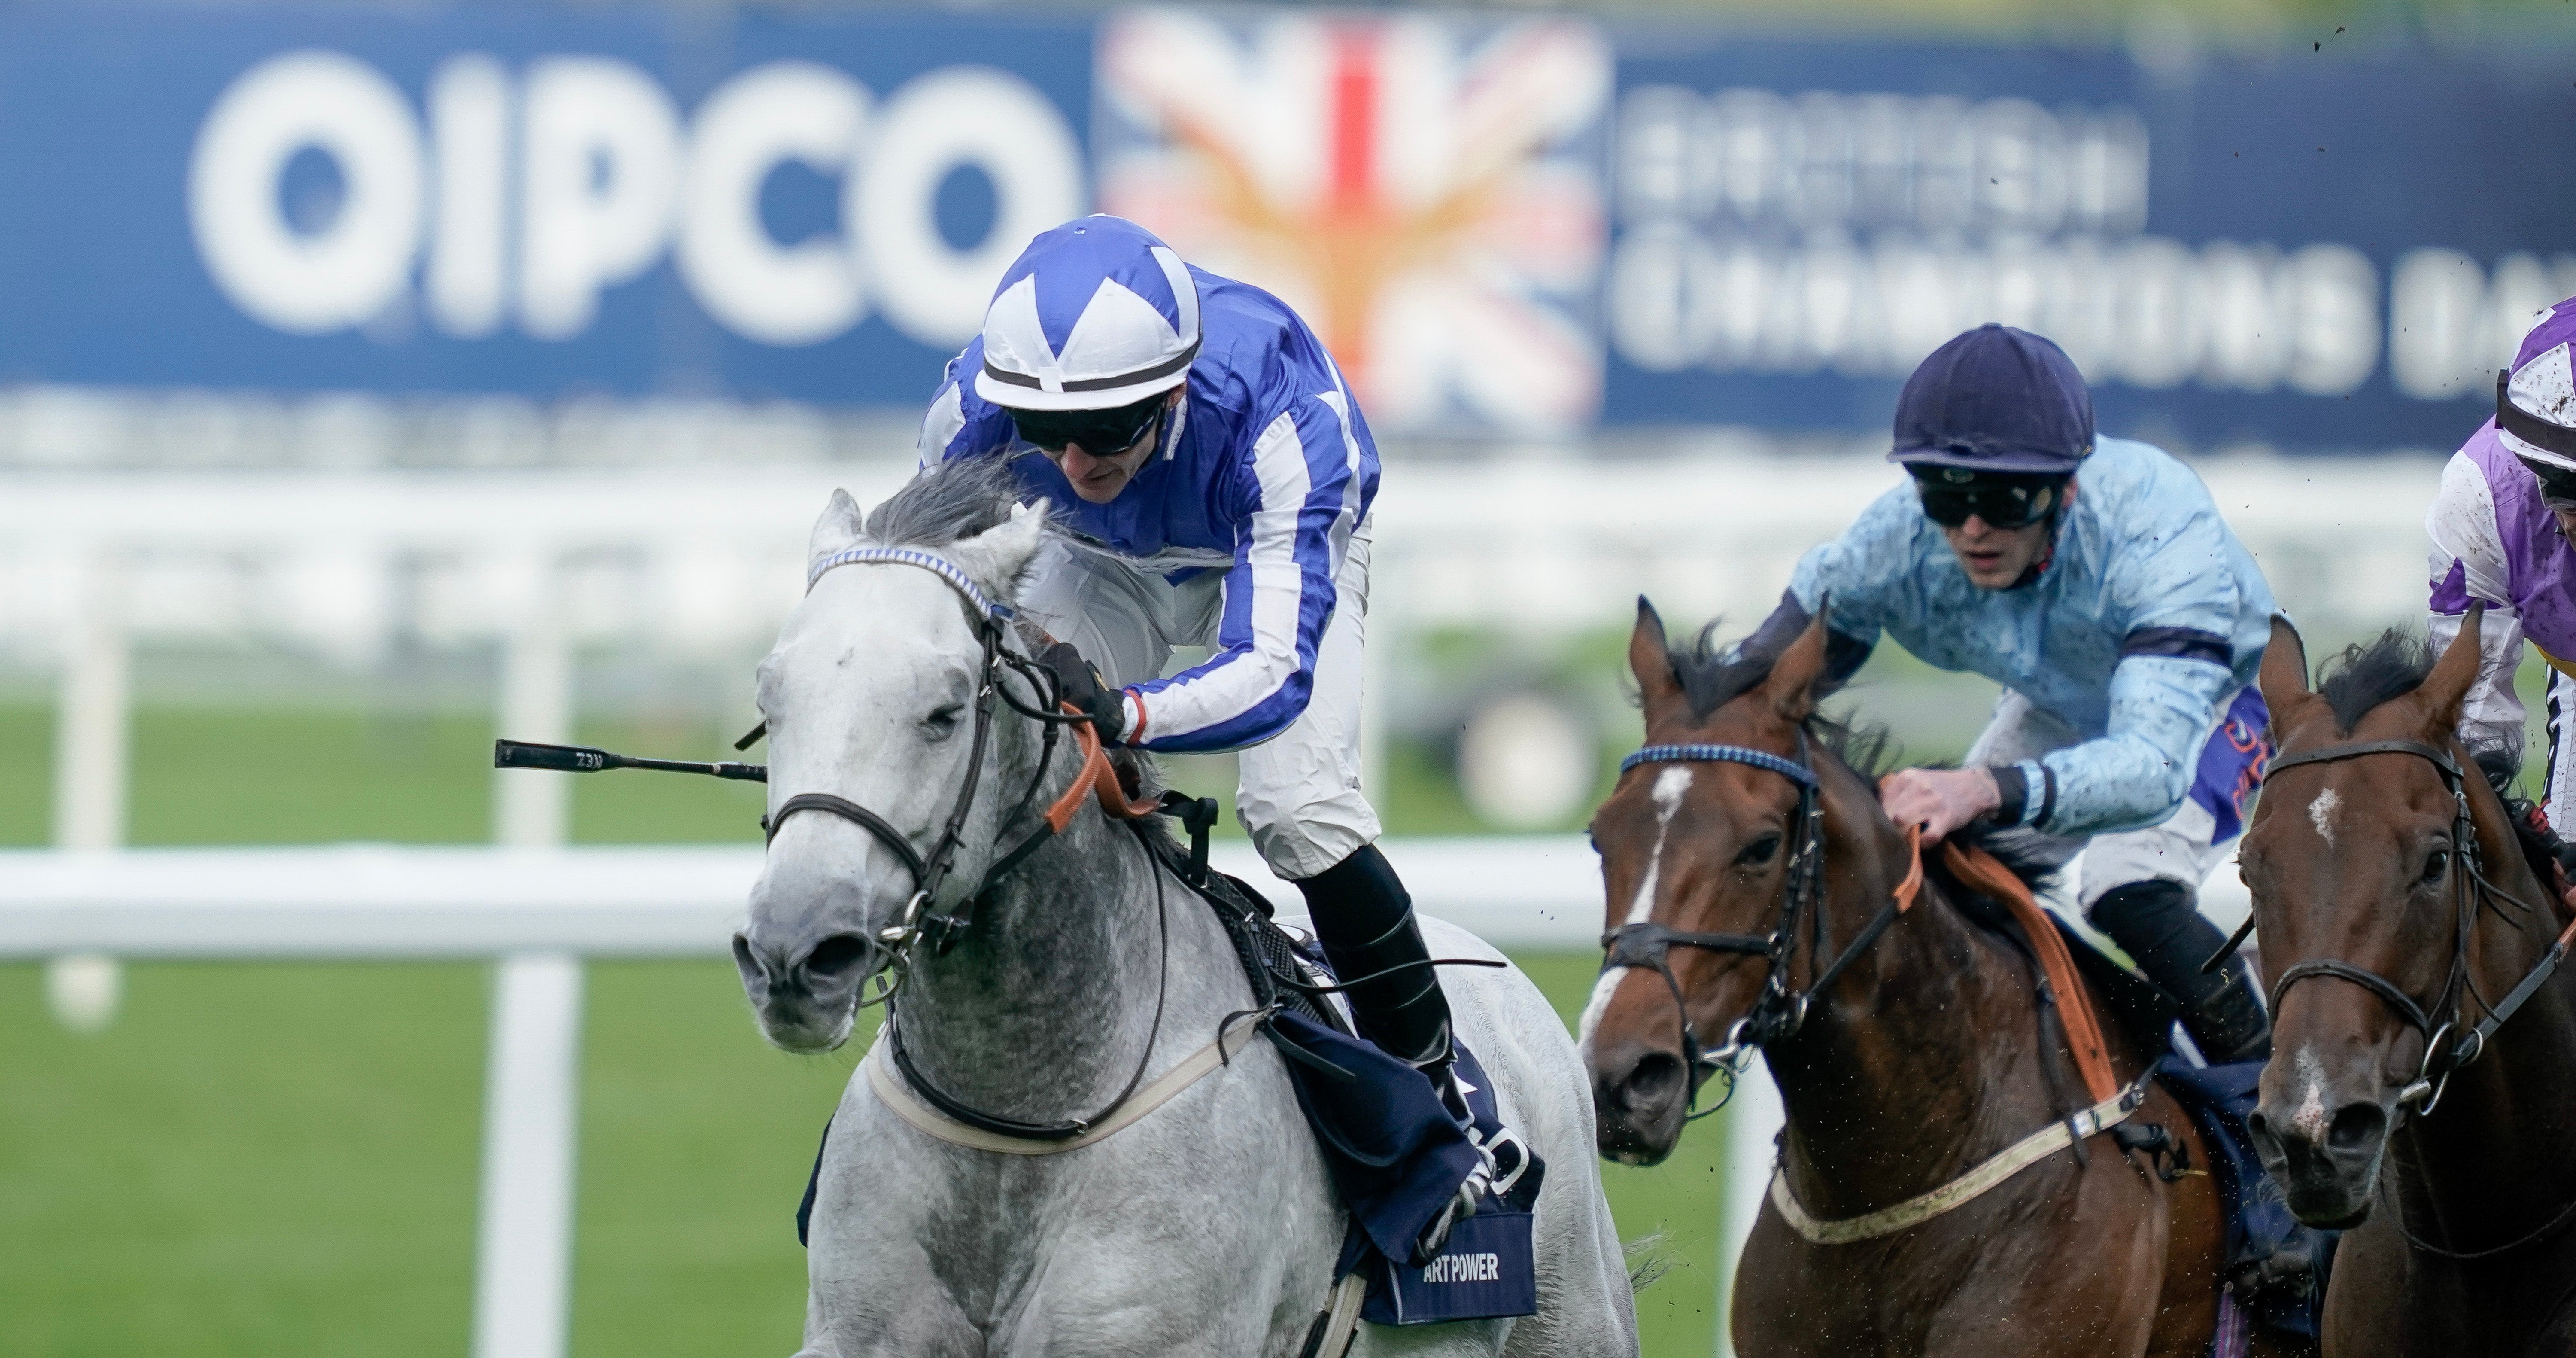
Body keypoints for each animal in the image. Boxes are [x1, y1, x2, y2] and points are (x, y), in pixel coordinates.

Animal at [721, 459, 1628, 1358]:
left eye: (943, 713)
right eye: (769, 706)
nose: (795, 952)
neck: (1025, 1116)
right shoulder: (860, 1332)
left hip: (1577, 1316)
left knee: (1310, 819)